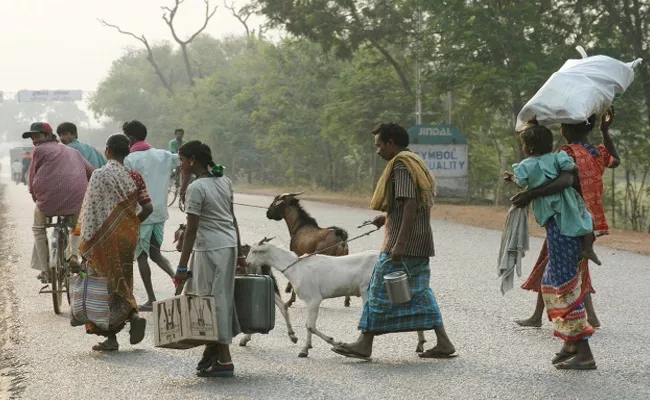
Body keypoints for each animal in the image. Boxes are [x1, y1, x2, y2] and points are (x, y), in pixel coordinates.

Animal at [243, 242, 426, 358]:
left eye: (253, 251)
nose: (246, 263)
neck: (296, 267)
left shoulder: (314, 299)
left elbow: (310, 326)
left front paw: (331, 342)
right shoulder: (311, 302)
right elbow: (309, 326)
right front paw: (306, 348)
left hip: (369, 288)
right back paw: (421, 341)